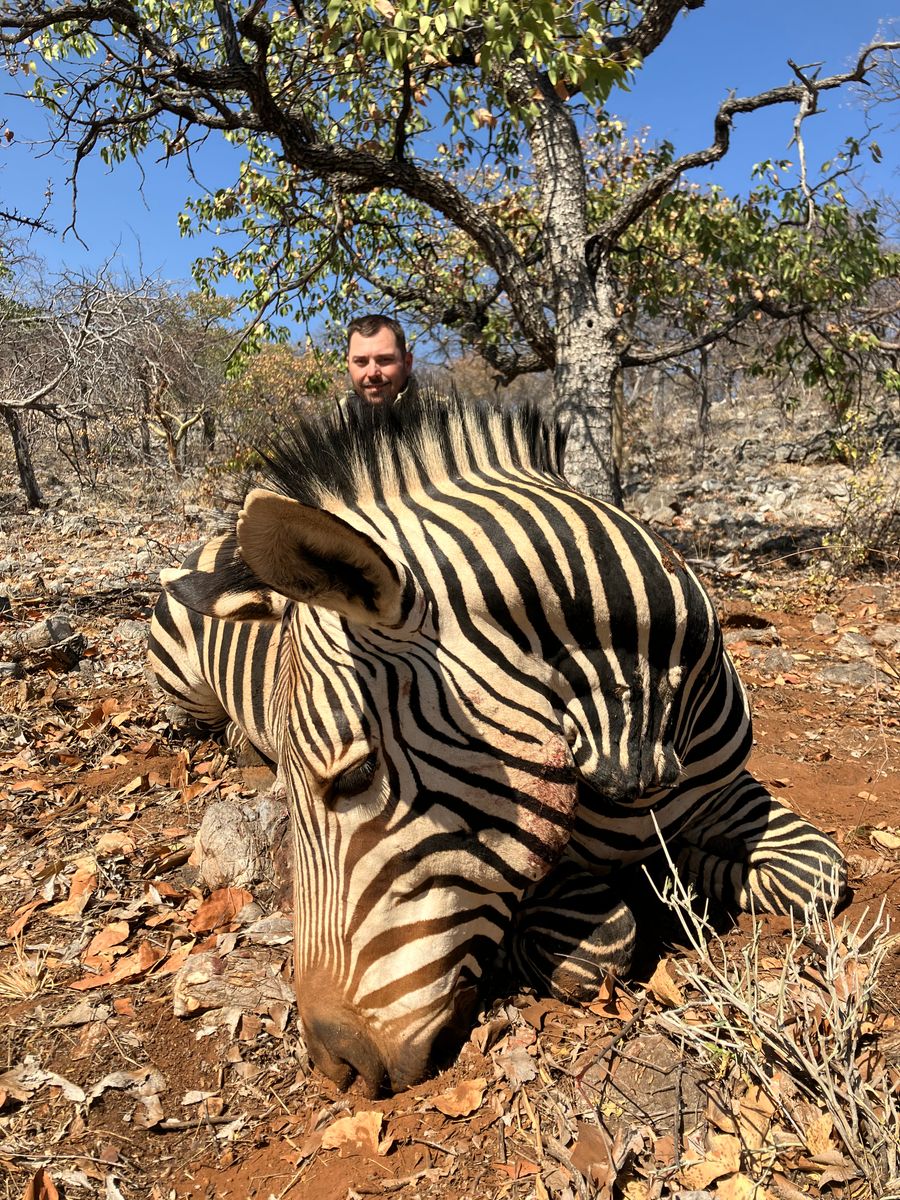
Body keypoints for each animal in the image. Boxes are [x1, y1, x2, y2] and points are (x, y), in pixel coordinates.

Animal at [148, 394, 847, 1095]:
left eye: (355, 776)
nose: (334, 1064)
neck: (632, 745)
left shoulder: (722, 790)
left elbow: (818, 871)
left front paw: (688, 871)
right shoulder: (539, 856)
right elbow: (600, 943)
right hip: (181, 683)